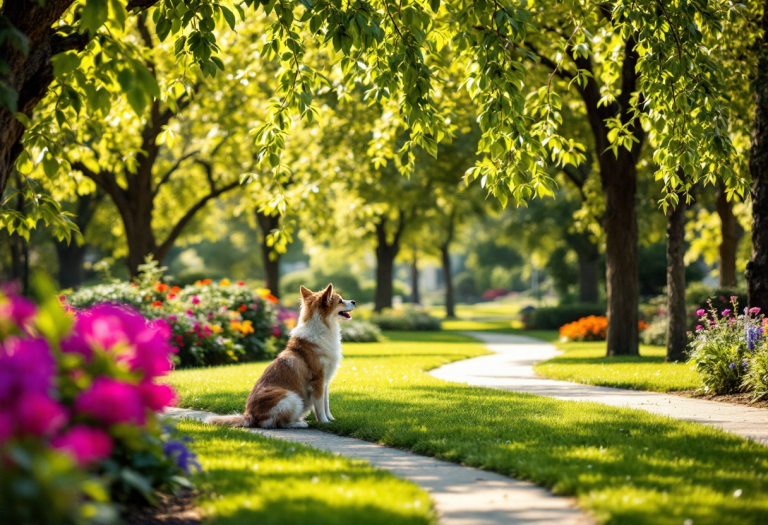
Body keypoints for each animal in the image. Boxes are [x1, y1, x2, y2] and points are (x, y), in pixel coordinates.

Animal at [208, 284, 356, 428]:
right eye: (340, 301)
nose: (354, 301)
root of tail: (250, 416)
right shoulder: (317, 381)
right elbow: (319, 406)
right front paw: (324, 422)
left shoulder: (325, 382)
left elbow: (326, 403)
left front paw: (331, 420)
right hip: (291, 397)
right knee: (277, 423)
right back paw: (299, 424)